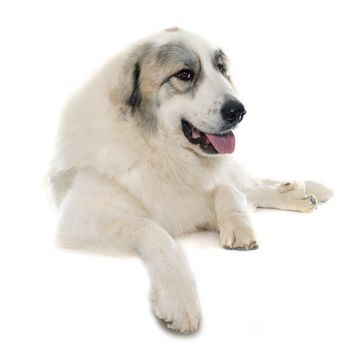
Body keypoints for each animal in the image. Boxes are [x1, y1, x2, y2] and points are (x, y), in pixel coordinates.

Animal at [48, 27, 330, 334]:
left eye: (221, 69)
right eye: (185, 74)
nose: (238, 111)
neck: (159, 151)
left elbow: (227, 191)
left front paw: (238, 226)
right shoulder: (78, 219)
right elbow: (152, 229)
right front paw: (179, 298)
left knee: (249, 184)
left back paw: (304, 192)